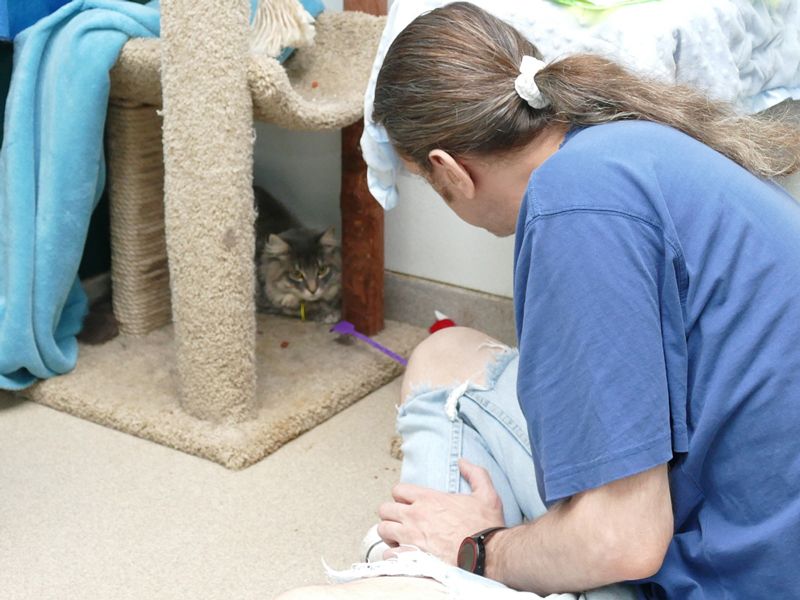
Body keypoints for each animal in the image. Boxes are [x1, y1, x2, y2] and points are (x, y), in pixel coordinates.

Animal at [255, 185, 342, 324]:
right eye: (296, 274)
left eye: (322, 270)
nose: (313, 290)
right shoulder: (267, 301)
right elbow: (297, 306)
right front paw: (328, 313)